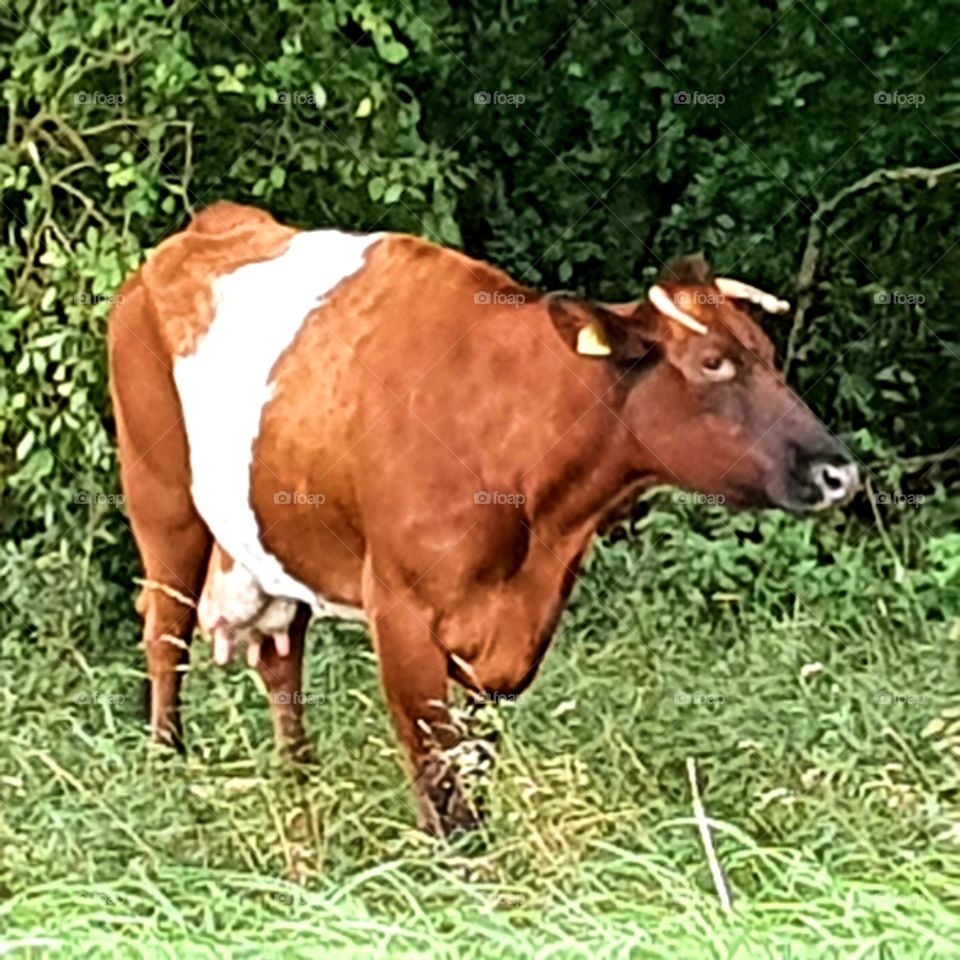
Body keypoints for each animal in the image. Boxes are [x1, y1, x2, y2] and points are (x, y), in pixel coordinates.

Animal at [108, 201, 859, 836]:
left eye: (768, 355)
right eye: (713, 362)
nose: (838, 472)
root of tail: (200, 229)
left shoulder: (509, 637)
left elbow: (475, 765)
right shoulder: (401, 615)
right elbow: (440, 782)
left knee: (281, 658)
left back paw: (301, 789)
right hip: (162, 504)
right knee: (165, 635)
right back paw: (167, 770)